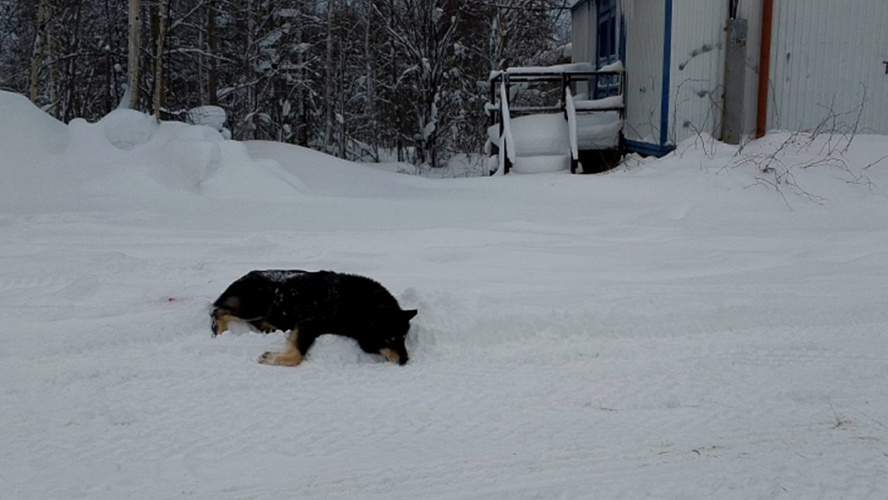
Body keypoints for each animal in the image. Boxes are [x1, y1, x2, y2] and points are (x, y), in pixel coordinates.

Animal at [211, 270, 416, 368]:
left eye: (404, 338)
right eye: (389, 339)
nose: (405, 360)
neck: (361, 306)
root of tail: (241, 278)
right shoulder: (309, 323)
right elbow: (296, 356)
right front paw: (273, 358)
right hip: (258, 302)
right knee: (218, 310)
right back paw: (220, 332)